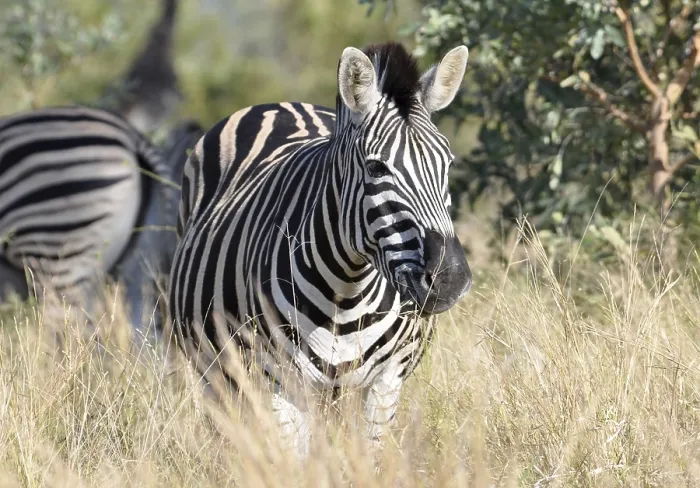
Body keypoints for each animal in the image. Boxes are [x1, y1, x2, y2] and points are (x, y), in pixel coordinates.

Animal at [168, 42, 472, 457]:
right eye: (376, 169)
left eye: (448, 165)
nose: (450, 277)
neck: (347, 290)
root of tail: (283, 103)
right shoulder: (279, 379)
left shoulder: (386, 381)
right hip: (216, 371)